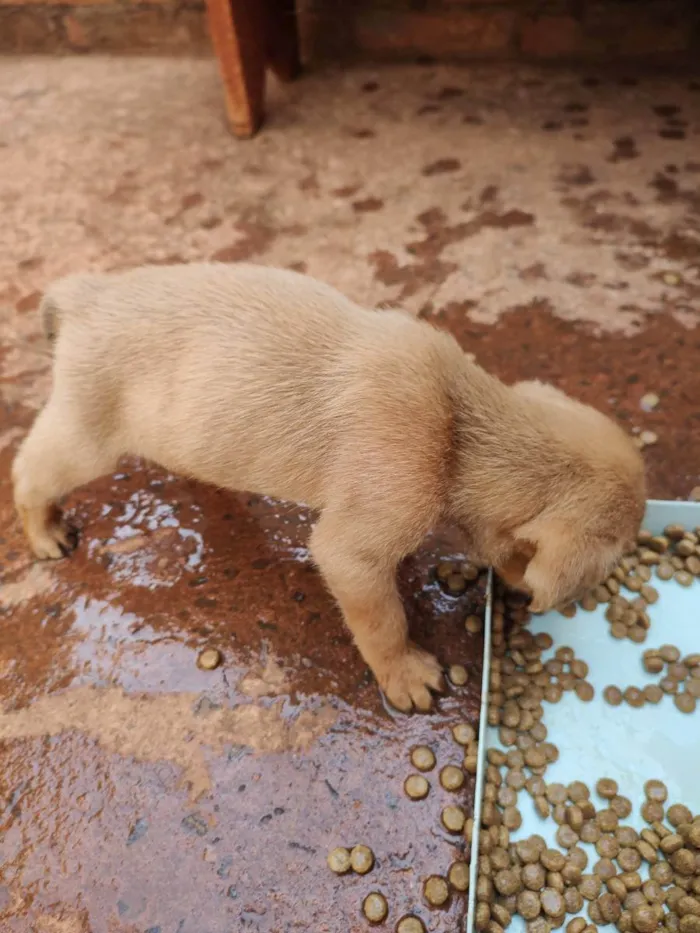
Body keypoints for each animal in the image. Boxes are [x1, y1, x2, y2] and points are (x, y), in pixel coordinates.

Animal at [10, 266, 644, 708]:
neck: (461, 426)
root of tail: (83, 293)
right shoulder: (362, 538)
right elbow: (382, 618)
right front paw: (406, 675)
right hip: (86, 434)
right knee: (29, 469)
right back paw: (43, 532)